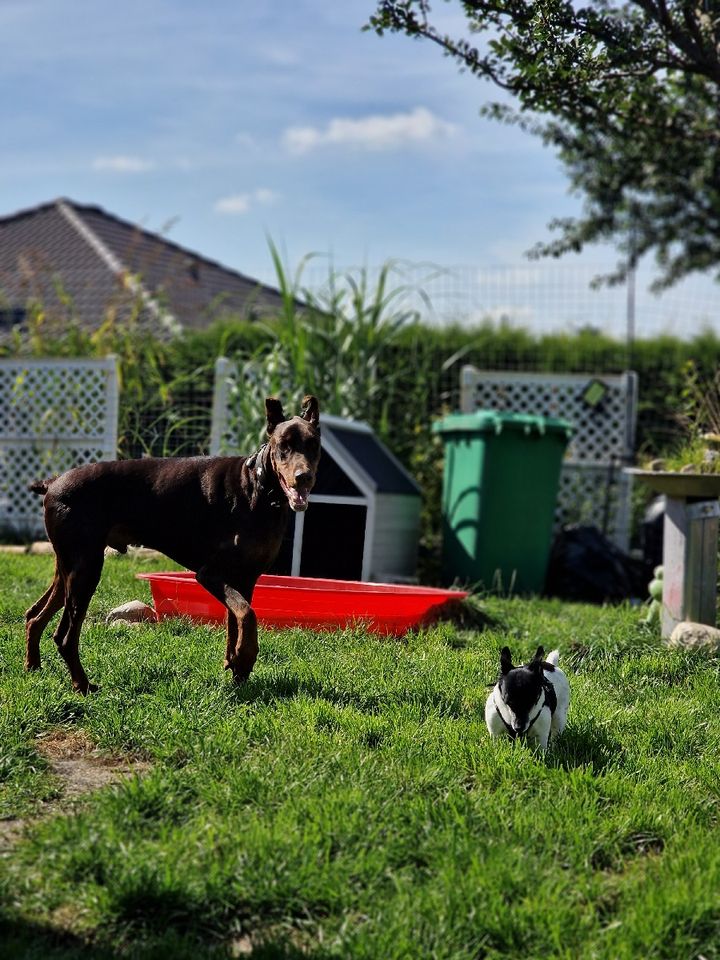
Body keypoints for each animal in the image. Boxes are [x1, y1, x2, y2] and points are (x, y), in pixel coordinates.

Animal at [24, 394, 320, 692]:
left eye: (313, 445)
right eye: (284, 446)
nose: (303, 477)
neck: (261, 489)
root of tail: (53, 483)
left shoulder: (245, 578)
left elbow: (237, 621)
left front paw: (237, 668)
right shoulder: (210, 574)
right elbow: (247, 616)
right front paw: (245, 659)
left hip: (69, 567)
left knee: (34, 616)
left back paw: (33, 666)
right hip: (86, 569)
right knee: (64, 636)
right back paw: (83, 685)